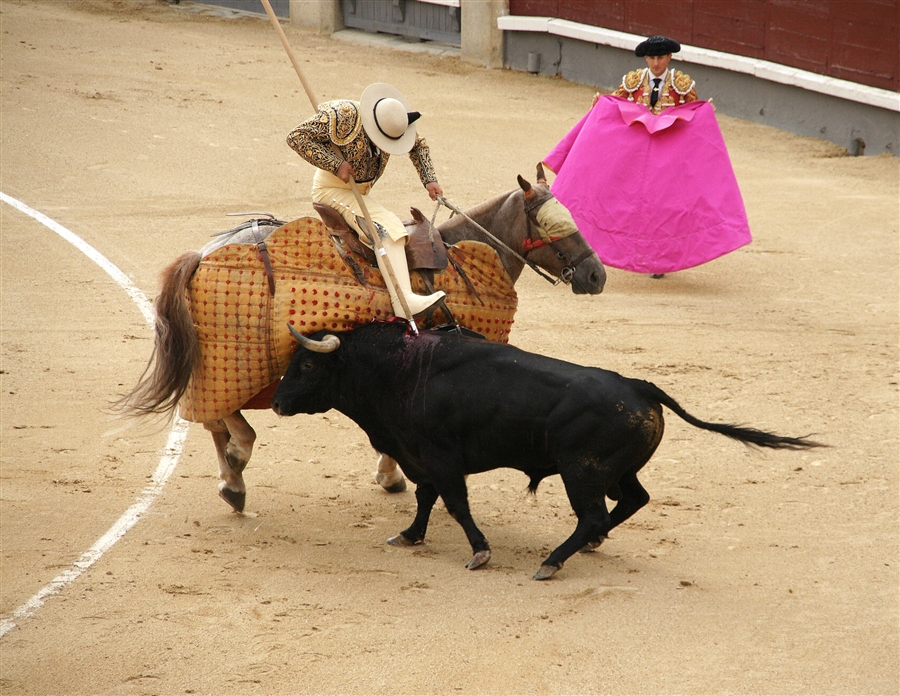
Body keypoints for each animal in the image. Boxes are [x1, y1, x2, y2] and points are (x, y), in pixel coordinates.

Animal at [119, 163, 604, 512]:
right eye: (552, 225)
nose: (597, 275)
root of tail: (202, 255)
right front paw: (397, 475)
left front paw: (391, 476)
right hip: (238, 359)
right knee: (225, 419)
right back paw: (237, 468)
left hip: (217, 359)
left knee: (211, 416)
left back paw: (232, 484)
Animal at [272, 322, 824, 580]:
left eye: (306, 365)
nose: (275, 402)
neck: (399, 370)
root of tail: (640, 386)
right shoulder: (420, 456)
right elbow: (426, 498)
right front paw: (409, 536)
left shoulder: (441, 457)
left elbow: (455, 503)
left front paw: (480, 552)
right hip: (611, 472)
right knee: (632, 500)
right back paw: (589, 545)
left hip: (581, 472)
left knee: (593, 515)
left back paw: (553, 561)